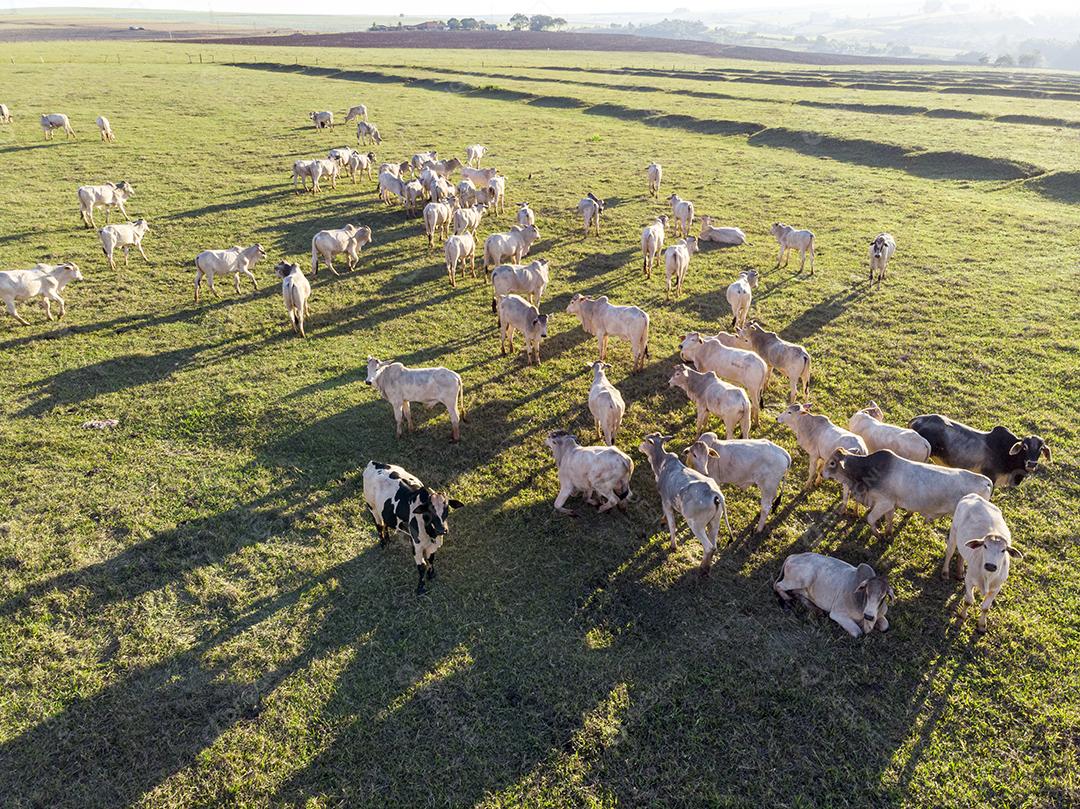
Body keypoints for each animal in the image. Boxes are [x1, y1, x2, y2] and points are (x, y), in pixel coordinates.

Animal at [362, 460, 464, 591]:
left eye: (447, 508)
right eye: (429, 511)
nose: (442, 529)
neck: (431, 533)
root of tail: (374, 463)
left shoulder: (433, 545)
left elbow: (431, 559)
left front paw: (431, 574)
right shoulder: (416, 546)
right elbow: (422, 566)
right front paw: (420, 587)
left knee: (385, 524)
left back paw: (388, 540)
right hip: (372, 508)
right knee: (379, 526)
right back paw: (383, 544)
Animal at [639, 432, 734, 578]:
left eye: (645, 440)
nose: (640, 446)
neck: (662, 464)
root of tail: (715, 494)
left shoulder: (666, 501)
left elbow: (672, 525)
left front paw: (673, 546)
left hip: (696, 525)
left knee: (709, 547)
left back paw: (702, 569)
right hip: (715, 522)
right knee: (714, 544)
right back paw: (707, 568)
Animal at [820, 447, 989, 535]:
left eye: (832, 462)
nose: (821, 474)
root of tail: (986, 481)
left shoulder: (883, 503)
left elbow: (870, 519)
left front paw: (878, 533)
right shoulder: (890, 505)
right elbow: (889, 519)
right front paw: (887, 533)